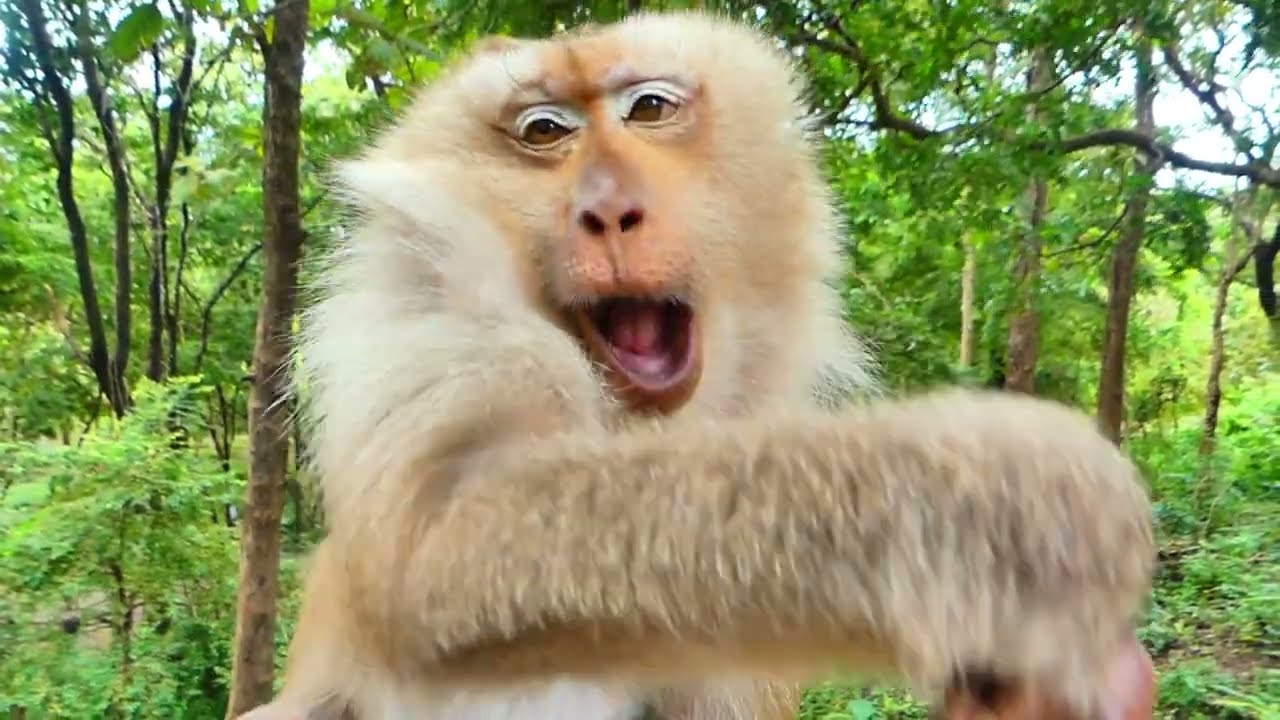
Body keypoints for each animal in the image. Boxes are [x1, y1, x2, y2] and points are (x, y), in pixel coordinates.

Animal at [237, 11, 1158, 720]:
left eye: (649, 107)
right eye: (545, 130)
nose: (608, 209)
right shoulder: (439, 350)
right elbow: (430, 556)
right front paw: (1008, 506)